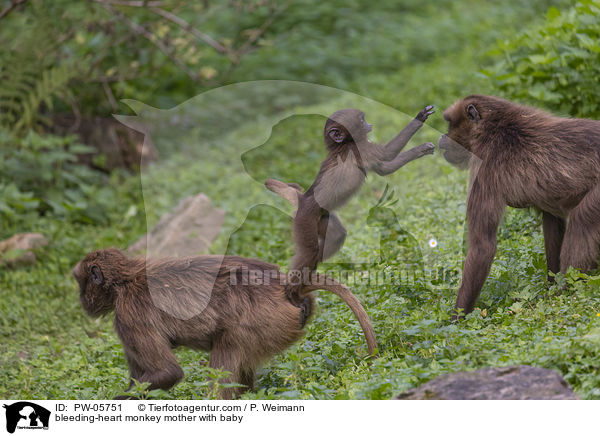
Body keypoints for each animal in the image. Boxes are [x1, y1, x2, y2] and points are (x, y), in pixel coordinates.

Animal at [72, 249, 378, 398]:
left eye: (80, 282)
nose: (80, 299)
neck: (125, 280)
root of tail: (286, 288)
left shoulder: (129, 316)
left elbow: (168, 372)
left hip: (264, 320)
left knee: (227, 351)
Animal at [268, 107, 436, 308]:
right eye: (361, 121)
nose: (369, 124)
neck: (343, 144)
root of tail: (303, 199)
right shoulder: (360, 147)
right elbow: (387, 153)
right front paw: (420, 119)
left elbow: (384, 168)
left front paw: (423, 149)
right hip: (305, 219)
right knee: (310, 251)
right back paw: (292, 290)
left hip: (322, 217)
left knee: (336, 236)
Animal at [436, 95, 600, 318]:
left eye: (450, 123)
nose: (441, 137)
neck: (492, 128)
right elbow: (551, 220)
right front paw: (551, 287)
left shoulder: (484, 165)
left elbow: (482, 247)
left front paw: (456, 320)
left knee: (582, 220)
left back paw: (569, 293)